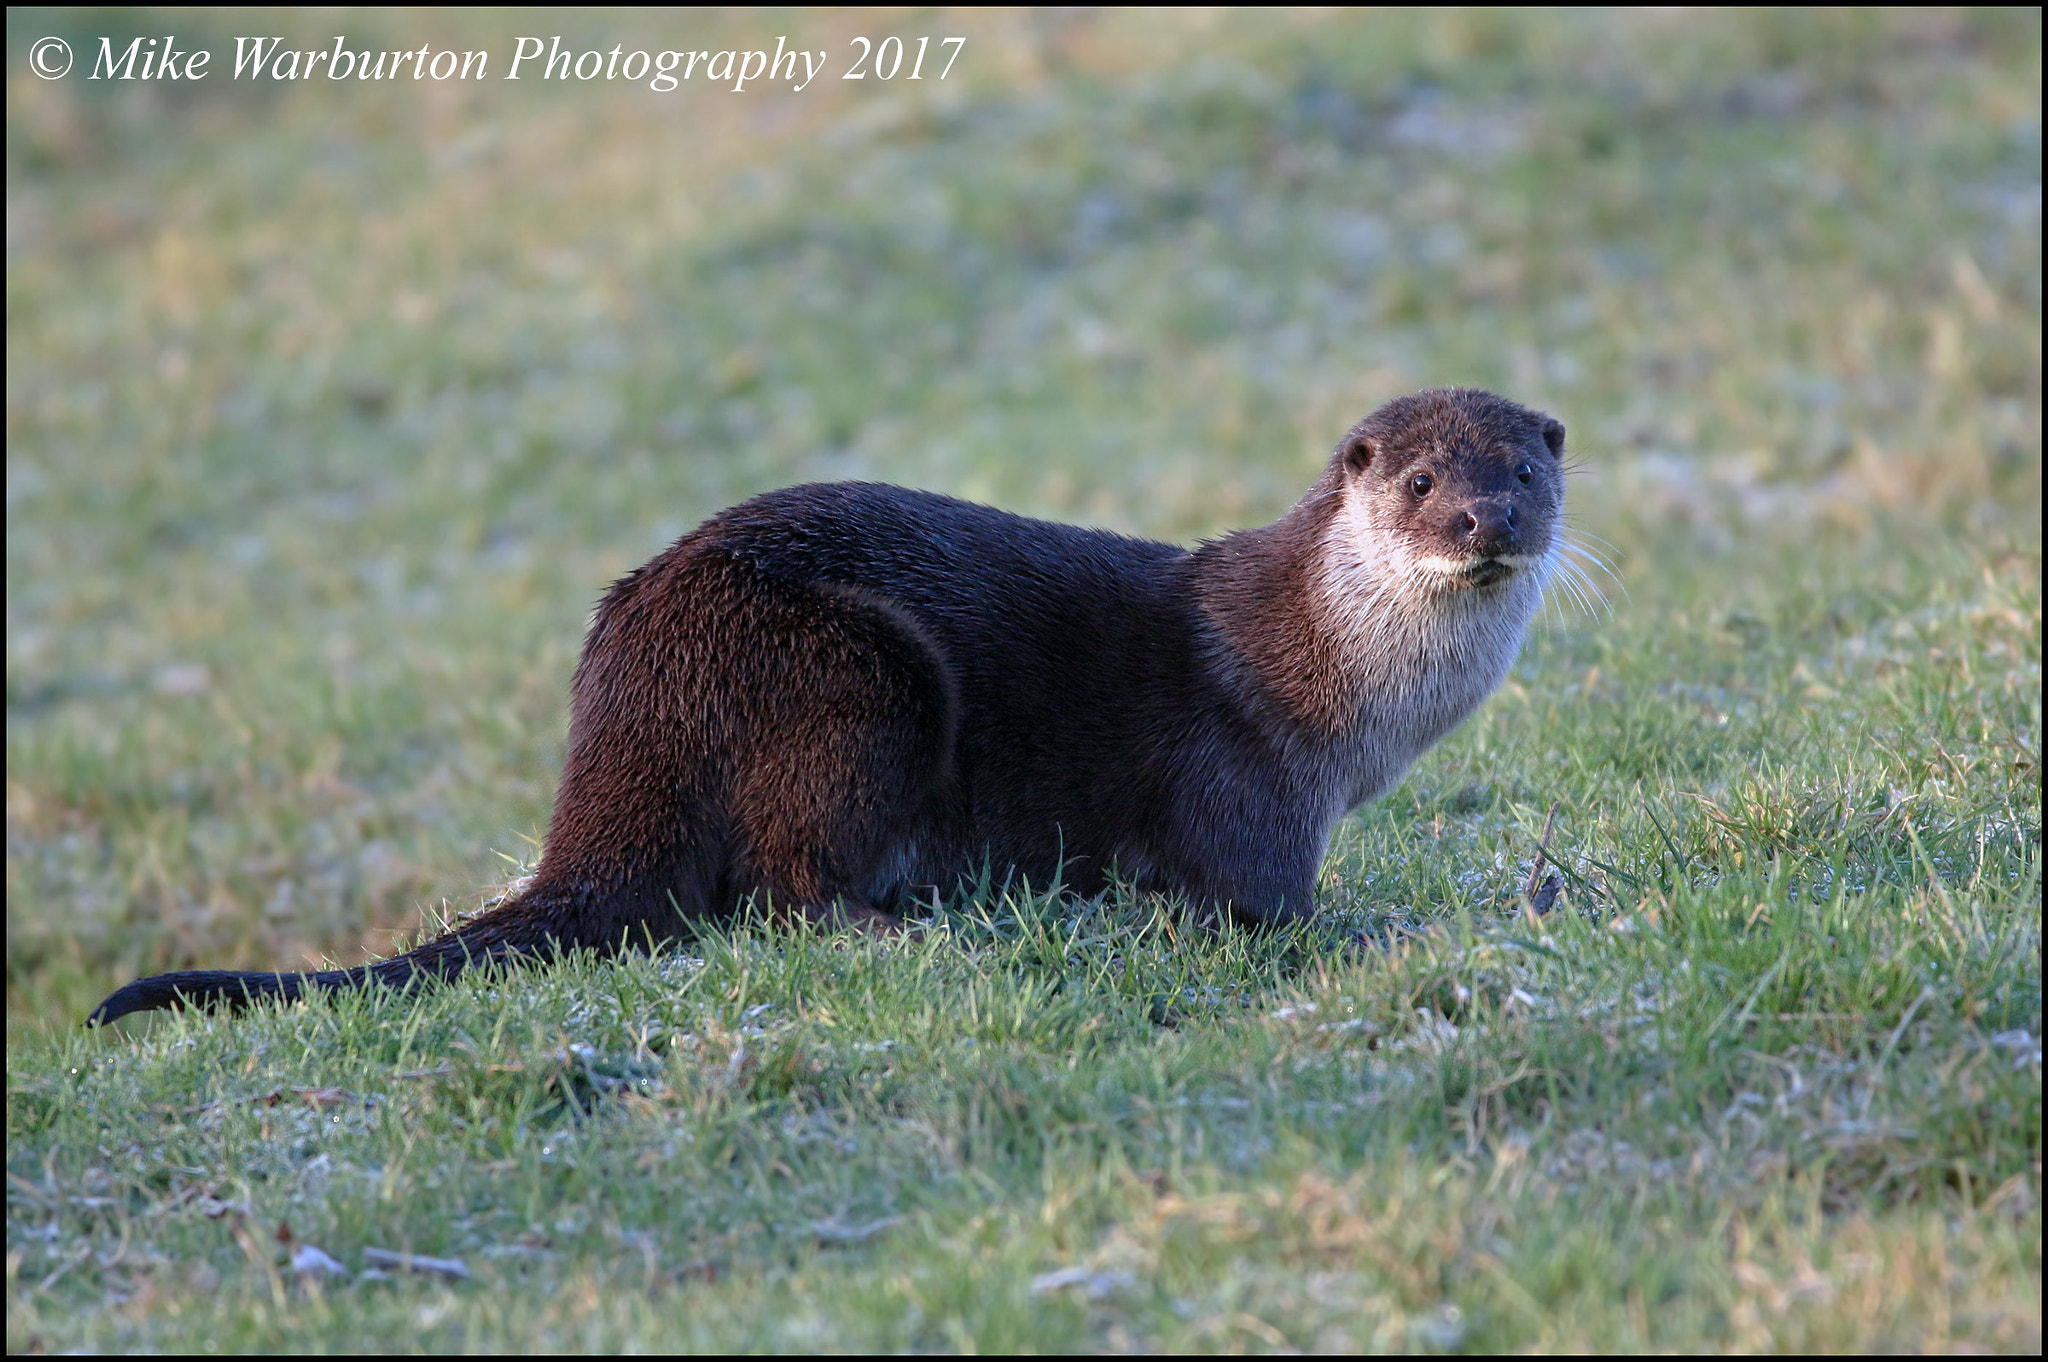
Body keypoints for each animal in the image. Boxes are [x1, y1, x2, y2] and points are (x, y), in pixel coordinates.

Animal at [88, 387, 1567, 1025]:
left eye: (1524, 472)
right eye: (1420, 480)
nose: (1484, 519)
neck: (1324, 681)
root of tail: (622, 703)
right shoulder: (1244, 790)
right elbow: (1264, 908)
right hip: (848, 677)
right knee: (781, 889)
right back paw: (916, 925)